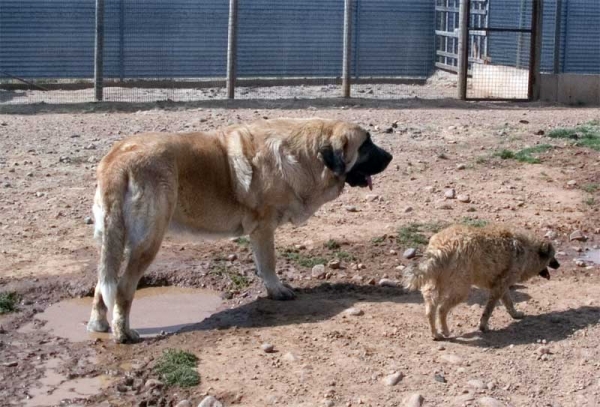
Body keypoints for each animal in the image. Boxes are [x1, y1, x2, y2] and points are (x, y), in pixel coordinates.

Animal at [86, 118, 392, 344]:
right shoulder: (264, 228)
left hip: (111, 240)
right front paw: (277, 291)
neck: (306, 155)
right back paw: (123, 333)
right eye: (366, 144)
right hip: (147, 242)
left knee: (102, 283)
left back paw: (98, 324)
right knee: (123, 288)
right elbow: (269, 264)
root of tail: (117, 161)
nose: (390, 156)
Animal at [400, 226, 560, 342]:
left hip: (434, 287)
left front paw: (515, 314)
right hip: (461, 291)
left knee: (430, 310)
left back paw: (436, 334)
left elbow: (509, 302)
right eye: (553, 257)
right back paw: (445, 331)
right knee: (441, 309)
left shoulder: (502, 286)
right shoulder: (499, 287)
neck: (528, 249)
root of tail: (442, 247)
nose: (558, 265)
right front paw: (483, 326)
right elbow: (488, 310)